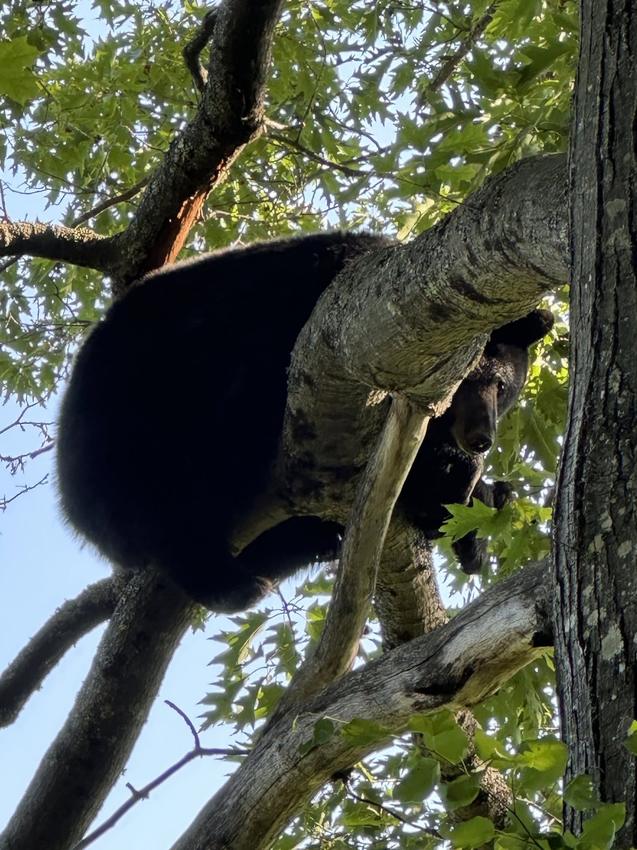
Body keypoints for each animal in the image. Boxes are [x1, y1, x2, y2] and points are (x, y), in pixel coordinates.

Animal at [56, 231, 553, 611]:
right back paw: (229, 580)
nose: (482, 437)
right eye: (480, 379)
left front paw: (475, 504)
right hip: (133, 418)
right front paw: (447, 481)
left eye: (505, 390)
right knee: (166, 505)